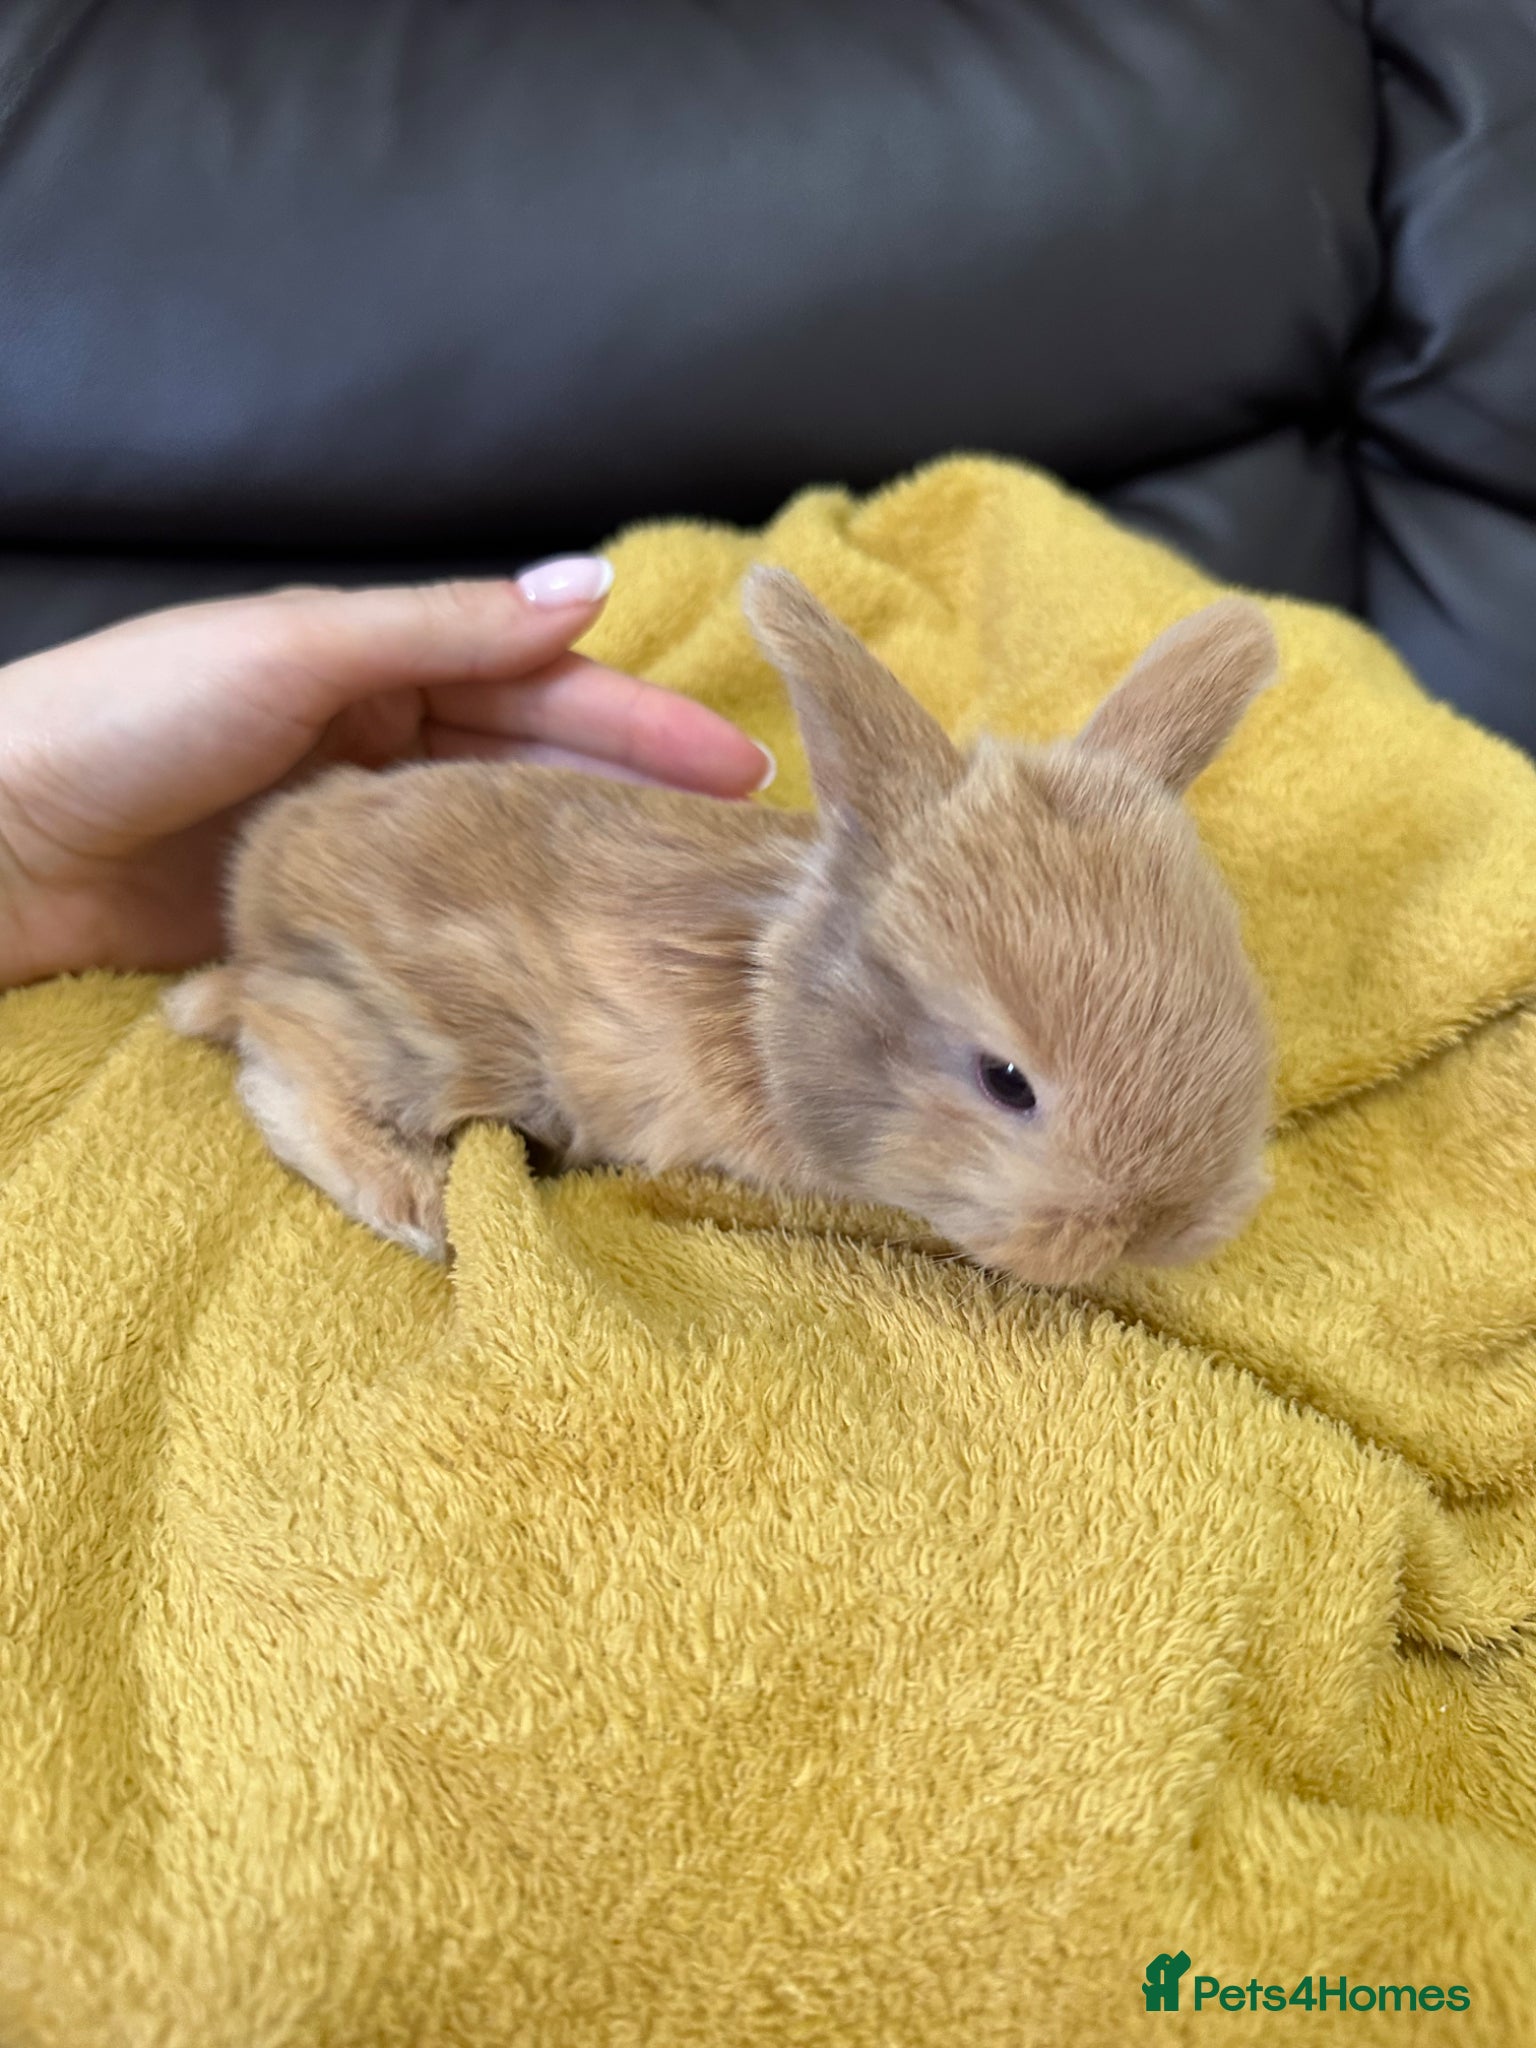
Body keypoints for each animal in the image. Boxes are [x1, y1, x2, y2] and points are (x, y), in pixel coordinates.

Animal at [163, 566, 1278, 1285]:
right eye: (1007, 1081)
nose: (1158, 1227)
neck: (764, 998)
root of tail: (258, 881)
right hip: (413, 1026)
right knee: (285, 1067)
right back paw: (417, 1202)